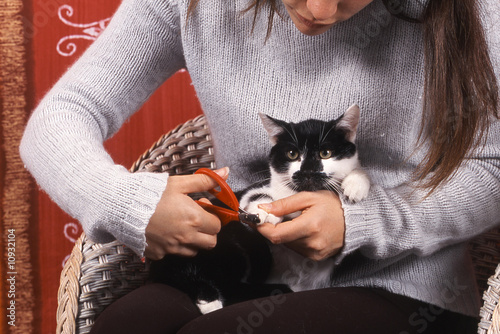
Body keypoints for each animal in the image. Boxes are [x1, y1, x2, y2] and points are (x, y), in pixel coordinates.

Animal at [147, 103, 368, 314]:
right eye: (292, 154)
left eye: (325, 153)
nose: (307, 171)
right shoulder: (251, 194)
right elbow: (255, 195)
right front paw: (265, 211)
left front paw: (356, 184)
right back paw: (210, 299)